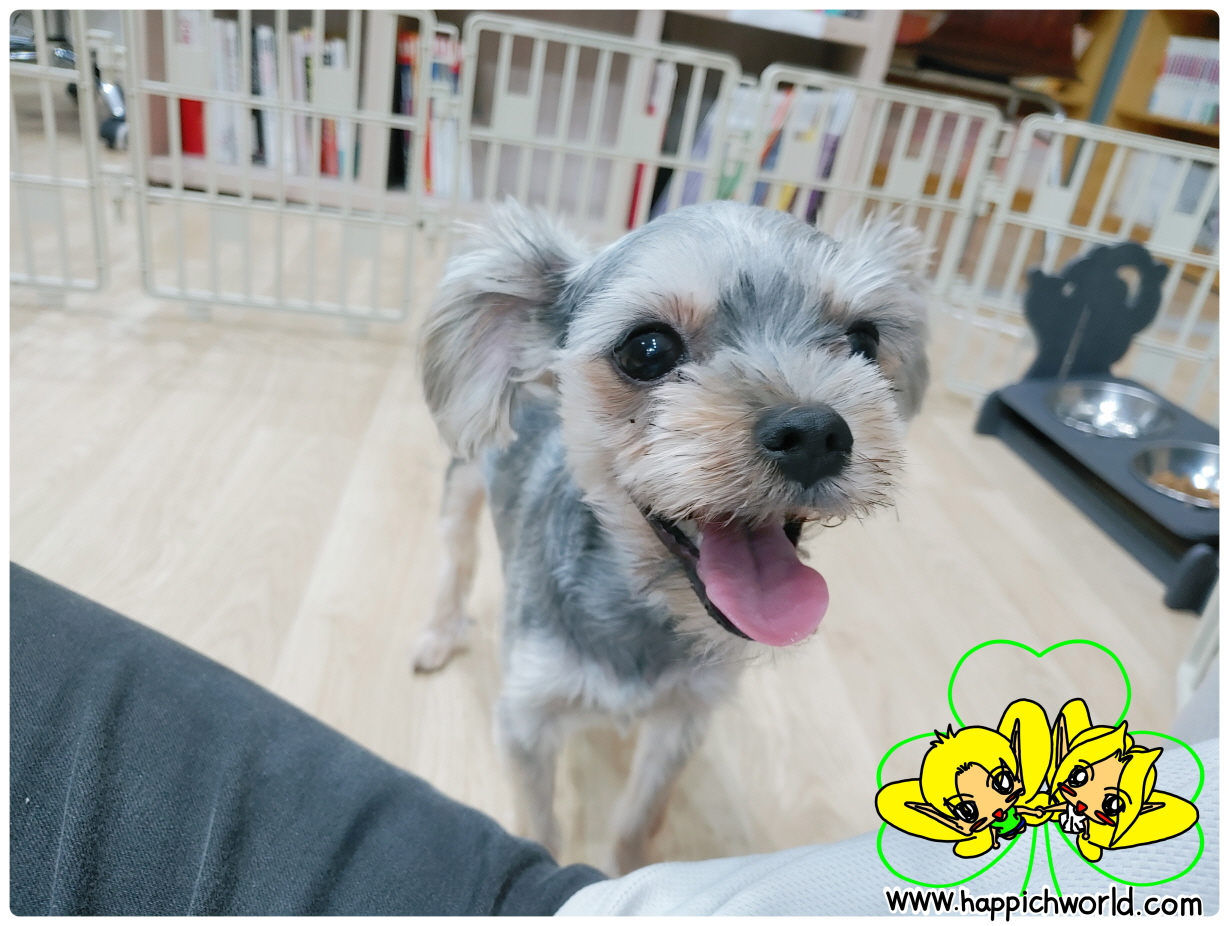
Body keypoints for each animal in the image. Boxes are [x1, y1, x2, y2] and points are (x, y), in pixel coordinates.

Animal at [413, 199, 929, 874]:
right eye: (647, 349)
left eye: (866, 341)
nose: (816, 433)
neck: (649, 608)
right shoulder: (527, 719)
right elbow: (540, 822)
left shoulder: (684, 716)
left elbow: (638, 817)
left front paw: (631, 867)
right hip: (462, 484)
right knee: (456, 560)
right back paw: (438, 634)